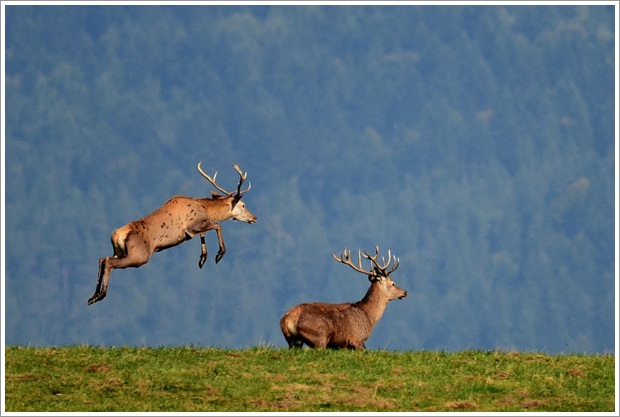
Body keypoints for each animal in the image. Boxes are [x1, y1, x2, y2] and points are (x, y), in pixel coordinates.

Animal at [86, 161, 256, 304]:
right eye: (243, 205)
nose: (254, 217)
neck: (206, 209)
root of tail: (117, 235)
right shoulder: (192, 227)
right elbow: (217, 226)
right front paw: (219, 254)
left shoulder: (195, 229)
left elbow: (205, 233)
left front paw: (203, 258)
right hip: (139, 256)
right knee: (109, 262)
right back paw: (101, 295)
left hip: (119, 252)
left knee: (102, 259)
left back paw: (93, 296)